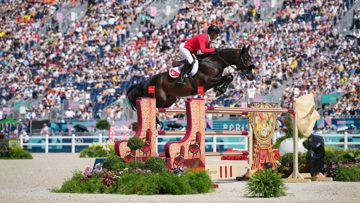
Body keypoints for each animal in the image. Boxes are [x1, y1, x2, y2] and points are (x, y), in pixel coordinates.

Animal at [126, 45, 256, 122]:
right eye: (246, 58)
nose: (252, 76)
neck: (214, 62)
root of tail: (144, 83)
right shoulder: (208, 82)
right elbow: (229, 76)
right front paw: (219, 91)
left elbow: (229, 77)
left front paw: (219, 90)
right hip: (159, 98)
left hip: (169, 100)